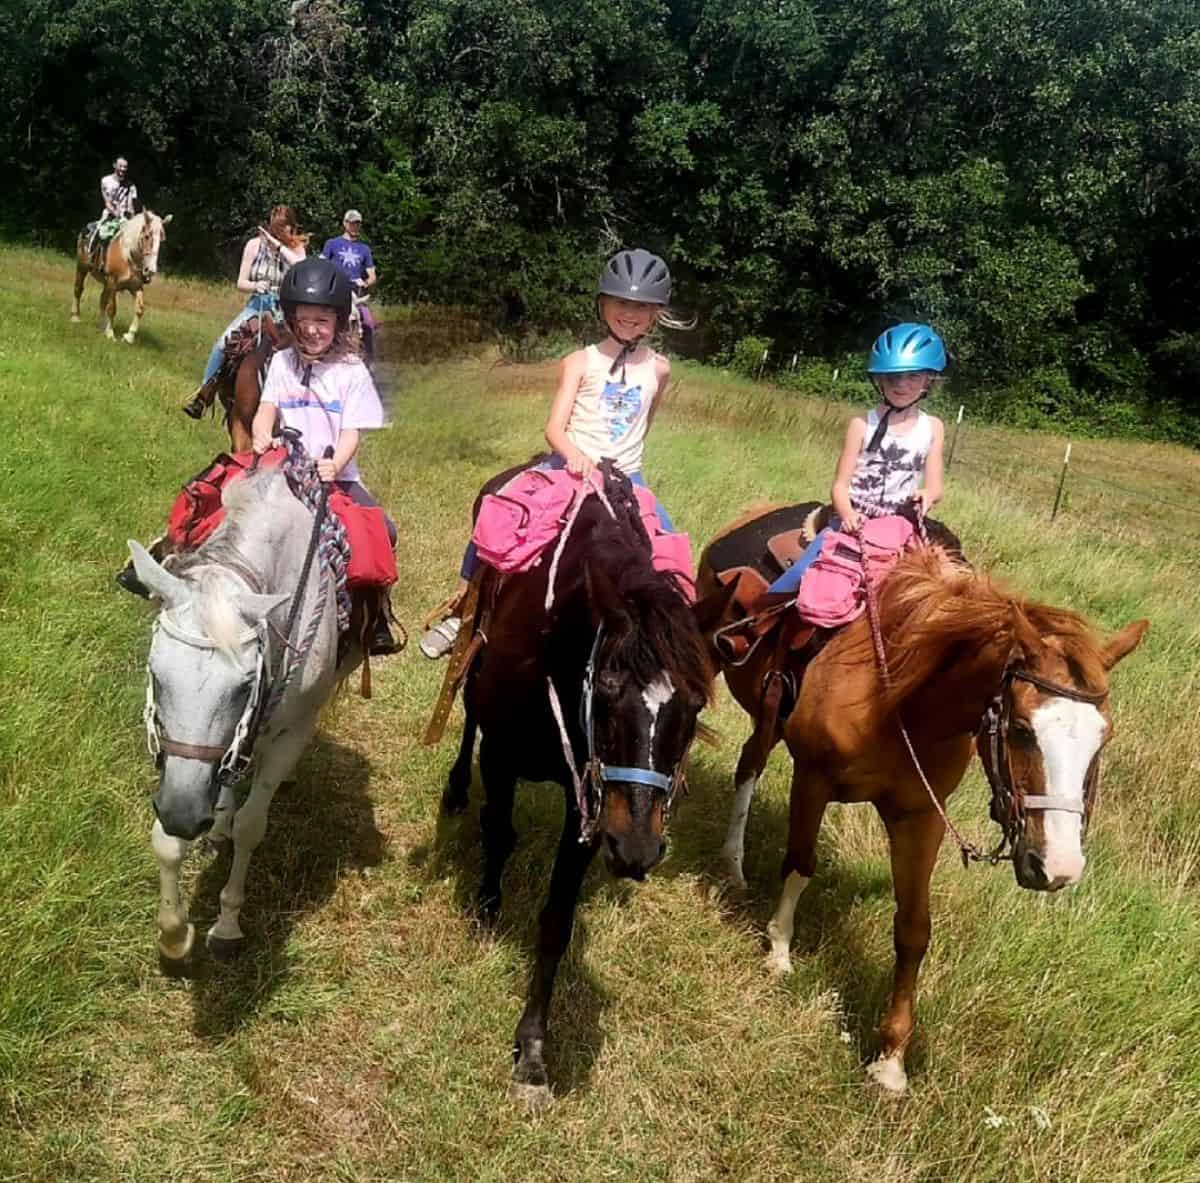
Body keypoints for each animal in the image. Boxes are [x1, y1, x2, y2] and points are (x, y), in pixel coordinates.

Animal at [70, 208, 171, 340]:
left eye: (162, 240)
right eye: (147, 236)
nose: (150, 270)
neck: (127, 256)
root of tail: (87, 227)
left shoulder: (136, 286)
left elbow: (140, 309)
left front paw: (129, 336)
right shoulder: (113, 282)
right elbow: (112, 308)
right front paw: (110, 333)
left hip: (106, 283)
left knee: (102, 300)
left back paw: (102, 326)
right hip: (82, 267)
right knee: (78, 289)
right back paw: (75, 317)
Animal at [127, 455, 360, 964]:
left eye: (244, 685)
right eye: (155, 672)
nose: (183, 814)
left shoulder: (289, 733)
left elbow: (252, 826)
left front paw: (227, 926)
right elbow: (167, 840)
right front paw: (173, 933)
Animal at [444, 463, 715, 1108]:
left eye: (694, 706)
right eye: (610, 692)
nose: (639, 849)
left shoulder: (593, 801)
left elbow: (558, 918)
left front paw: (533, 1050)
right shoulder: (503, 754)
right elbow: (500, 833)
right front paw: (486, 909)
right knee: (465, 717)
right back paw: (456, 790)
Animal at [700, 511, 1147, 1094]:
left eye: (1103, 738)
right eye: (1022, 730)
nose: (1060, 868)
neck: (898, 699)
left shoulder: (920, 816)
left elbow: (914, 929)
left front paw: (891, 1059)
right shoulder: (813, 780)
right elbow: (800, 863)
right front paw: (778, 951)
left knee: (750, 758)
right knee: (739, 764)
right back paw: (726, 861)